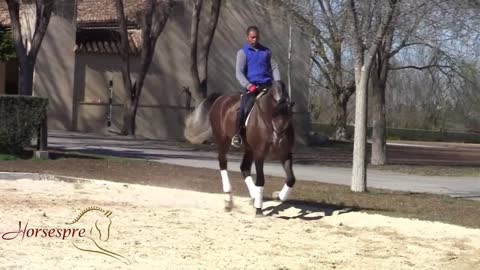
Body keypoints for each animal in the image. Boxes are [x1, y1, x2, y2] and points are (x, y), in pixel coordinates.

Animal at [184, 80, 296, 217]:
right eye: (273, 113)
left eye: (290, 115)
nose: (278, 139)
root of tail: (221, 98)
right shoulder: (259, 154)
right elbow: (260, 180)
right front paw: (259, 210)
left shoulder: (285, 153)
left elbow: (291, 179)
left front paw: (278, 195)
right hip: (223, 140)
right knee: (223, 162)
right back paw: (229, 200)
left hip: (249, 149)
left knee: (244, 168)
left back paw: (254, 197)